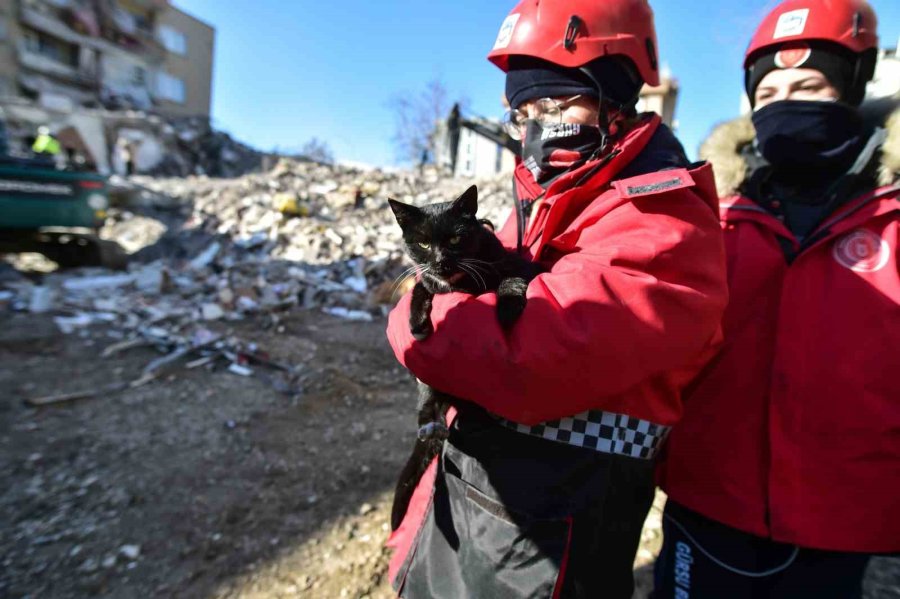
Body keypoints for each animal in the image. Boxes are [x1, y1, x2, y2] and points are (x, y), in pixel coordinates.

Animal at [386, 186, 540, 528]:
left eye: (455, 239)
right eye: (423, 243)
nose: (441, 260)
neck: (461, 283)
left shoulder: (517, 266)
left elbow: (511, 279)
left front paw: (508, 306)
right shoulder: (427, 280)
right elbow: (421, 288)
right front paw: (417, 324)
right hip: (430, 387)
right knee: (427, 411)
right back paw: (432, 428)